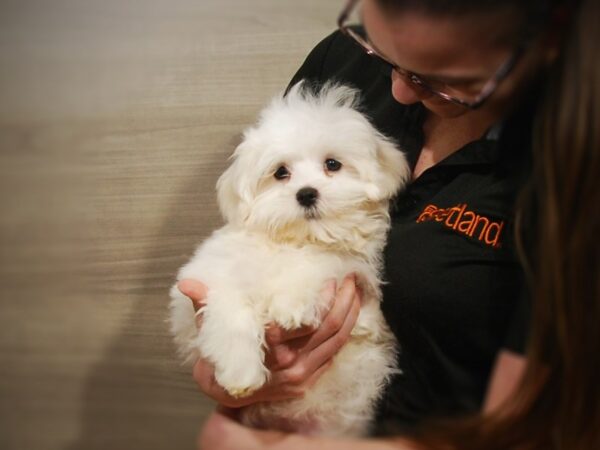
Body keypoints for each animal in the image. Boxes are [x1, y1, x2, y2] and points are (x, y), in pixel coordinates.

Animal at [170, 81, 412, 436]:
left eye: (332, 164)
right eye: (280, 172)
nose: (306, 193)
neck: (294, 240)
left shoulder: (349, 269)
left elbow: (316, 265)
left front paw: (291, 305)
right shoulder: (215, 273)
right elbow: (231, 312)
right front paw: (241, 373)